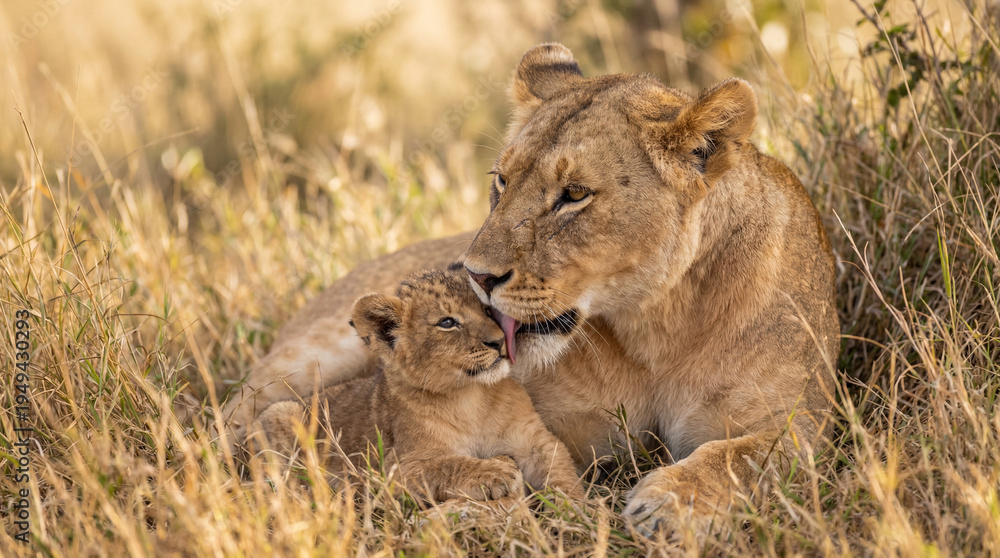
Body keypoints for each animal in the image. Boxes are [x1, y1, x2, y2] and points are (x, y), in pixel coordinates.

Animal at [247, 268, 583, 502]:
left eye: (488, 310)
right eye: (447, 323)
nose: (498, 342)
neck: (471, 397)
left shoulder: (532, 438)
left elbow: (560, 469)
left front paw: (578, 512)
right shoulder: (393, 471)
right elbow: (447, 465)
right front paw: (495, 471)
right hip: (280, 412)